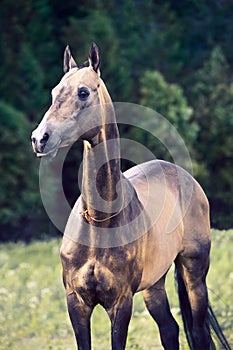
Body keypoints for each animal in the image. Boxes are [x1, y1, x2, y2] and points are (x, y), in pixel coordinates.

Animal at [30, 43, 229, 350]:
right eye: (54, 92)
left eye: (83, 92)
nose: (40, 139)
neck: (99, 222)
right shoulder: (76, 303)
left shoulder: (120, 303)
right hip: (154, 285)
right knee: (169, 330)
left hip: (195, 274)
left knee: (198, 332)